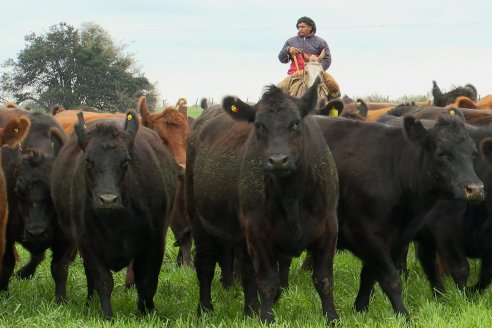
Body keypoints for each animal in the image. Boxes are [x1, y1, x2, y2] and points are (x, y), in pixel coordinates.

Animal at [50, 111, 180, 320]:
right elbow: (103, 282)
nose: (108, 199)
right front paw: (107, 316)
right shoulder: (88, 245)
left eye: (125, 161)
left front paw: (147, 312)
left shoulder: (154, 243)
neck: (116, 223)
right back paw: (85, 303)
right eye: (88, 161)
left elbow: (147, 282)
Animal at [186, 78, 340, 324]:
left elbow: (324, 279)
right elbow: (268, 281)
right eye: (259, 125)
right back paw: (205, 309)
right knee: (205, 264)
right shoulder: (259, 232)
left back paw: (249, 310)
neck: (292, 196)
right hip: (199, 220)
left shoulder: (329, 228)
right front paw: (267, 318)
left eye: (296, 123)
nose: (277, 160)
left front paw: (332, 317)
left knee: (247, 273)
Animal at [314, 109, 482, 318]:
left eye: (473, 153)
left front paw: (360, 309)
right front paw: (404, 316)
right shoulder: (363, 232)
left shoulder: (393, 238)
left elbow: (369, 276)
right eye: (442, 153)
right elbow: (391, 279)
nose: (475, 189)